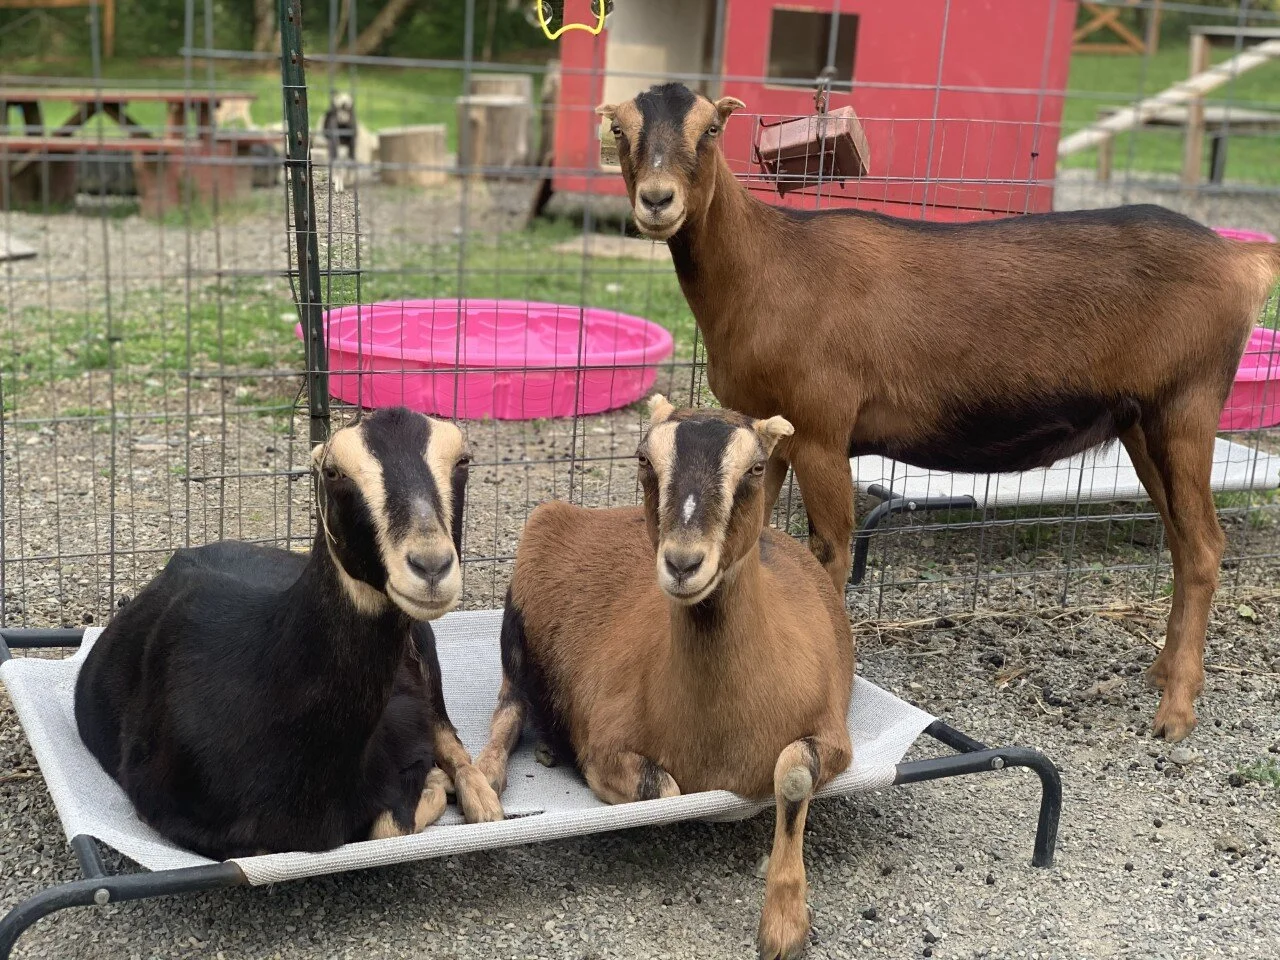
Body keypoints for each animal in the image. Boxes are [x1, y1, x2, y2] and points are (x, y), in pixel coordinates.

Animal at [74, 407, 503, 860]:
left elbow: (388, 823)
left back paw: (483, 800)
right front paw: (435, 785)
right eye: (333, 472)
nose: (431, 567)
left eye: (463, 461)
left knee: (450, 737)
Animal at [476, 396, 854, 960]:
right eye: (644, 459)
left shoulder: (834, 734)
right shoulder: (605, 748)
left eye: (756, 468)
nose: (682, 563)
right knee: (509, 706)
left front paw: (784, 924)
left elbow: (791, 774)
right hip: (515, 636)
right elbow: (669, 793)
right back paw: (490, 779)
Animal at [595, 82, 1280, 743]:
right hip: (1142, 422)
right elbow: (760, 541)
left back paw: (1175, 713)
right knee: (1181, 540)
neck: (765, 268)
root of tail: (1242, 261)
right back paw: (1162, 671)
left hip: (1187, 405)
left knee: (1205, 547)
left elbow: (830, 551)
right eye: (620, 130)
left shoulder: (822, 431)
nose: (657, 201)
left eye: (711, 127)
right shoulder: (770, 435)